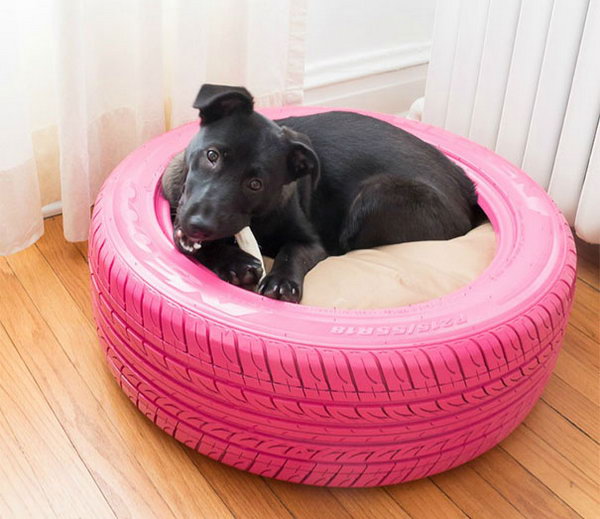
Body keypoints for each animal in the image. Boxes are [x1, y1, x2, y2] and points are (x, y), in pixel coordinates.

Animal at [162, 85, 480, 302]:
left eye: (256, 184)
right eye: (212, 155)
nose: (199, 225)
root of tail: (468, 191)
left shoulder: (311, 243)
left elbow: (291, 253)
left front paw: (281, 282)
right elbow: (193, 245)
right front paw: (235, 262)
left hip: (376, 195)